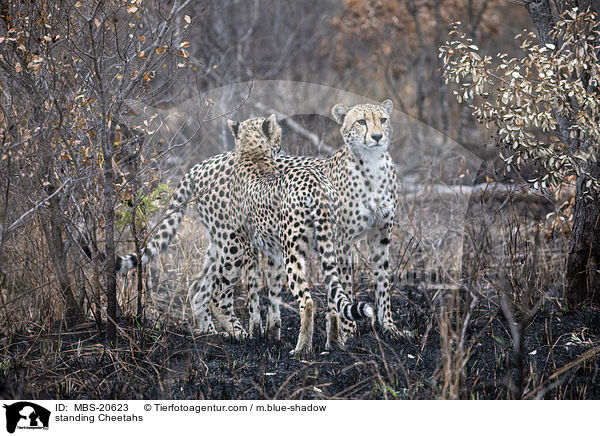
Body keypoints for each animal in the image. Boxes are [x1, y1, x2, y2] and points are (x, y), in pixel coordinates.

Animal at [116, 99, 398, 338]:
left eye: (383, 120)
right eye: (361, 122)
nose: (377, 136)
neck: (372, 167)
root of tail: (201, 164)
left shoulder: (381, 236)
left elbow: (383, 281)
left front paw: (389, 327)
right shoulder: (341, 241)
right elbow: (343, 286)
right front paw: (347, 332)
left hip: (223, 242)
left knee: (200, 286)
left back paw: (212, 331)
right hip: (234, 241)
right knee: (219, 288)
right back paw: (236, 330)